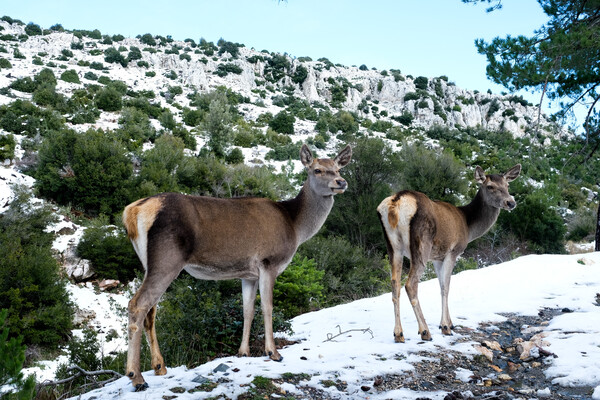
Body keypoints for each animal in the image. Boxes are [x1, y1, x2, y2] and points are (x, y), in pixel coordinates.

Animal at [120, 144, 352, 390]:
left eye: (337, 168)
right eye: (317, 170)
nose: (341, 182)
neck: (295, 225)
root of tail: (132, 212)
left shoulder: (248, 274)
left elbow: (247, 309)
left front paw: (243, 352)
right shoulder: (269, 262)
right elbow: (268, 307)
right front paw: (273, 352)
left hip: (147, 262)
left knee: (151, 310)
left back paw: (159, 367)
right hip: (168, 257)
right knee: (138, 304)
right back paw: (136, 376)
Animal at [378, 164, 516, 342]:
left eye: (507, 185)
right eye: (490, 186)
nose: (511, 202)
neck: (468, 226)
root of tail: (396, 203)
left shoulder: (437, 257)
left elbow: (441, 284)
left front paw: (449, 323)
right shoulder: (453, 251)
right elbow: (446, 287)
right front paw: (445, 327)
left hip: (393, 246)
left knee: (395, 284)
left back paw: (398, 333)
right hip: (422, 244)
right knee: (410, 284)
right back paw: (425, 331)